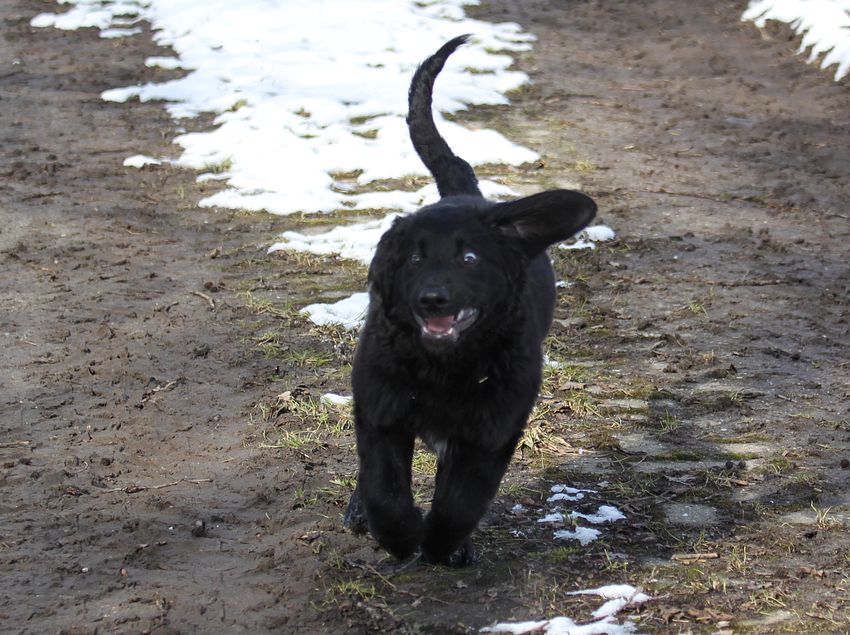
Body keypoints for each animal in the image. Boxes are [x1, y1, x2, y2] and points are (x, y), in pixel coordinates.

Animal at [344, 35, 597, 566]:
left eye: (470, 258)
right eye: (413, 259)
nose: (433, 299)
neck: (443, 367)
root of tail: (465, 194)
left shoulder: (491, 429)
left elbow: (462, 499)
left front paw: (443, 544)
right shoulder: (382, 408)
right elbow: (383, 486)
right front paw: (400, 537)